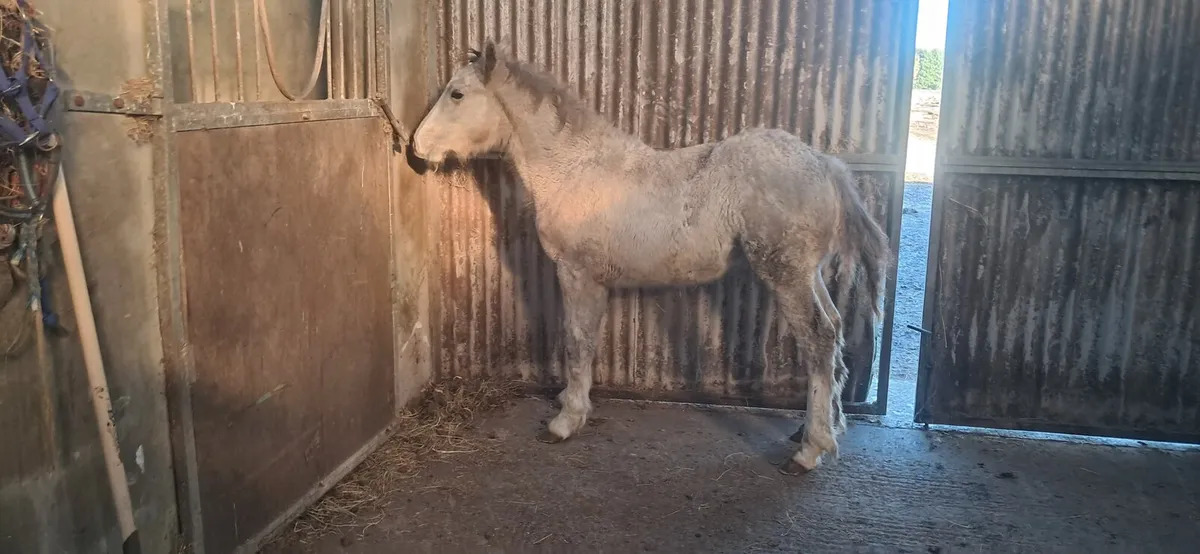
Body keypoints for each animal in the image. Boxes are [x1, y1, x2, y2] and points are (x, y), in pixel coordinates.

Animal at [412, 41, 889, 475]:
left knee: (818, 339)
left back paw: (809, 450)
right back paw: (821, 428)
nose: (416, 148)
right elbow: (584, 340)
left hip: (786, 275)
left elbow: (576, 341)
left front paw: (565, 421)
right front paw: (571, 402)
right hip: (808, 274)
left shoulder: (577, 274)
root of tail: (826, 164)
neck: (573, 169)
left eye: (457, 94)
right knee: (836, 328)